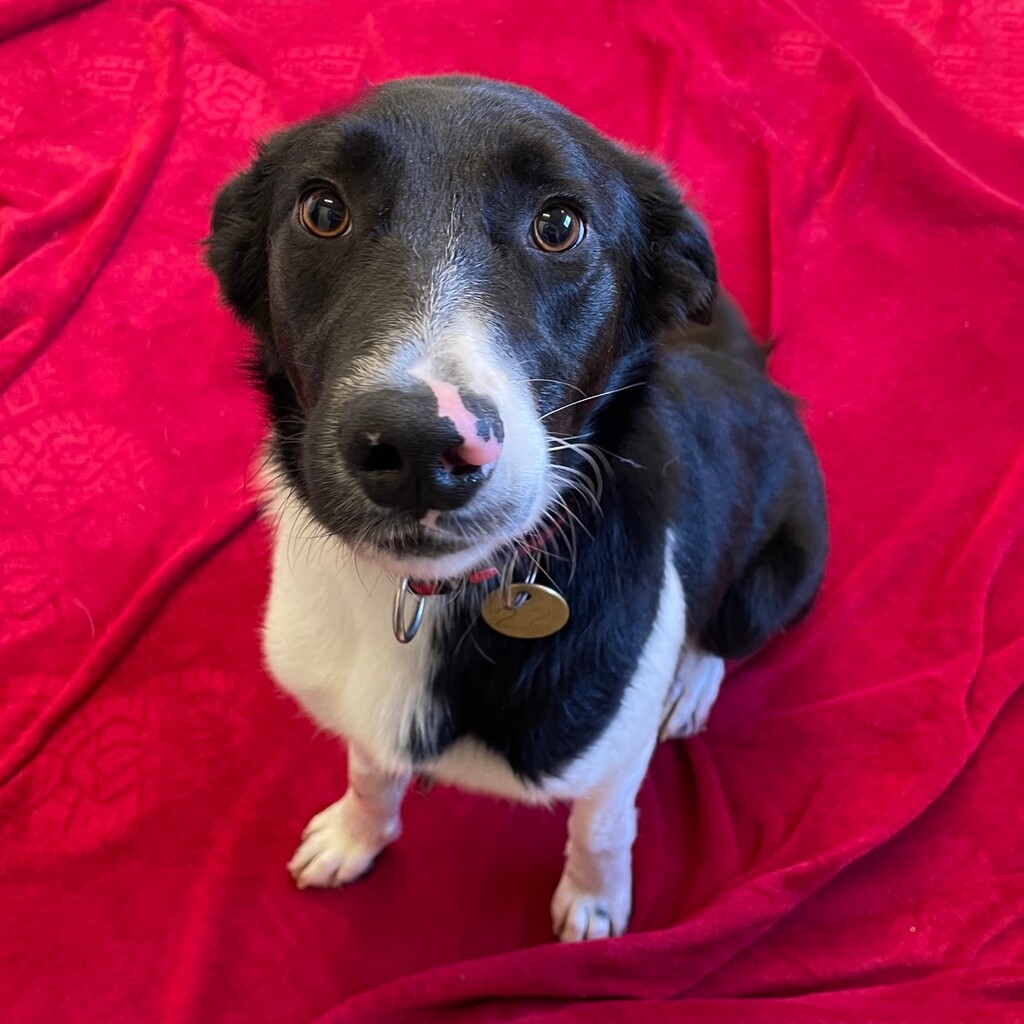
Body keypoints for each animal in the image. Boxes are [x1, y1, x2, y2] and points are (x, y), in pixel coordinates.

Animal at [205, 75, 828, 942]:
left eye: (559, 225)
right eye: (323, 209)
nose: (419, 448)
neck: (430, 597)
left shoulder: (614, 751)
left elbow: (602, 827)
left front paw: (594, 901)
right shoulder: (363, 713)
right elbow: (371, 769)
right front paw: (356, 834)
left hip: (776, 579)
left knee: (724, 635)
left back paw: (690, 684)